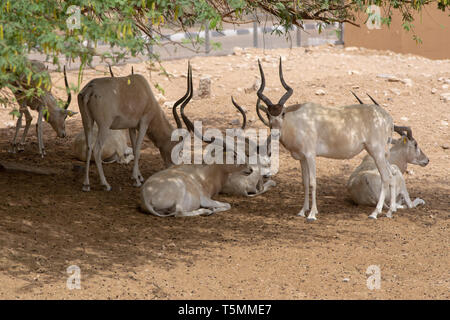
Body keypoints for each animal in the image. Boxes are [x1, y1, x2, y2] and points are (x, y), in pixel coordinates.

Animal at [140, 64, 253, 218]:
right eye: (233, 155)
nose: (250, 169)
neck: (202, 174)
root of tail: (146, 197)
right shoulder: (205, 199)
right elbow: (227, 205)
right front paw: (212, 209)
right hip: (181, 194)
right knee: (179, 212)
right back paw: (206, 211)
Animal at [256, 58, 398, 220]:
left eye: (283, 113)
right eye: (268, 114)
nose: (275, 133)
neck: (299, 120)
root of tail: (387, 118)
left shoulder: (310, 155)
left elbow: (312, 182)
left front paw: (312, 214)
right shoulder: (302, 158)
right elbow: (304, 182)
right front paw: (302, 211)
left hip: (376, 152)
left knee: (385, 177)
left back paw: (375, 213)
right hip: (381, 153)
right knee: (392, 174)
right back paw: (389, 212)